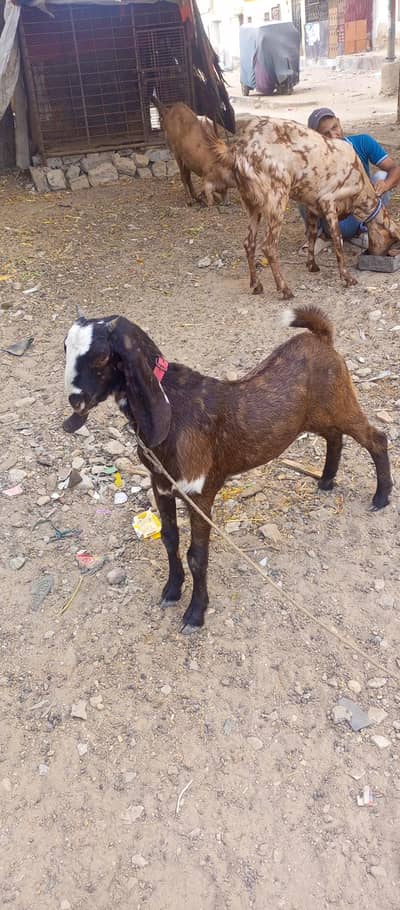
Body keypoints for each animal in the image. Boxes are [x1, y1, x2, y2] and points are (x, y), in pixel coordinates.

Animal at [63, 307, 392, 633]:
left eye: (102, 357)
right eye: (65, 348)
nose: (75, 400)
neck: (172, 404)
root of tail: (320, 337)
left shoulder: (200, 493)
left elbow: (197, 556)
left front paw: (195, 614)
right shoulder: (161, 483)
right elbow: (170, 538)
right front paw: (172, 591)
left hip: (341, 401)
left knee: (375, 437)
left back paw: (380, 497)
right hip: (313, 416)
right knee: (334, 436)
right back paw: (326, 480)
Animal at [207, 117, 400, 298]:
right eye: (391, 240)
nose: (374, 254)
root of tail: (239, 148)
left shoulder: (312, 208)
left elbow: (312, 235)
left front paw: (312, 265)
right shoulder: (328, 201)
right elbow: (338, 241)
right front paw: (346, 277)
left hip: (252, 205)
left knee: (249, 243)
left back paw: (256, 285)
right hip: (277, 199)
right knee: (269, 246)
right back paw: (284, 289)